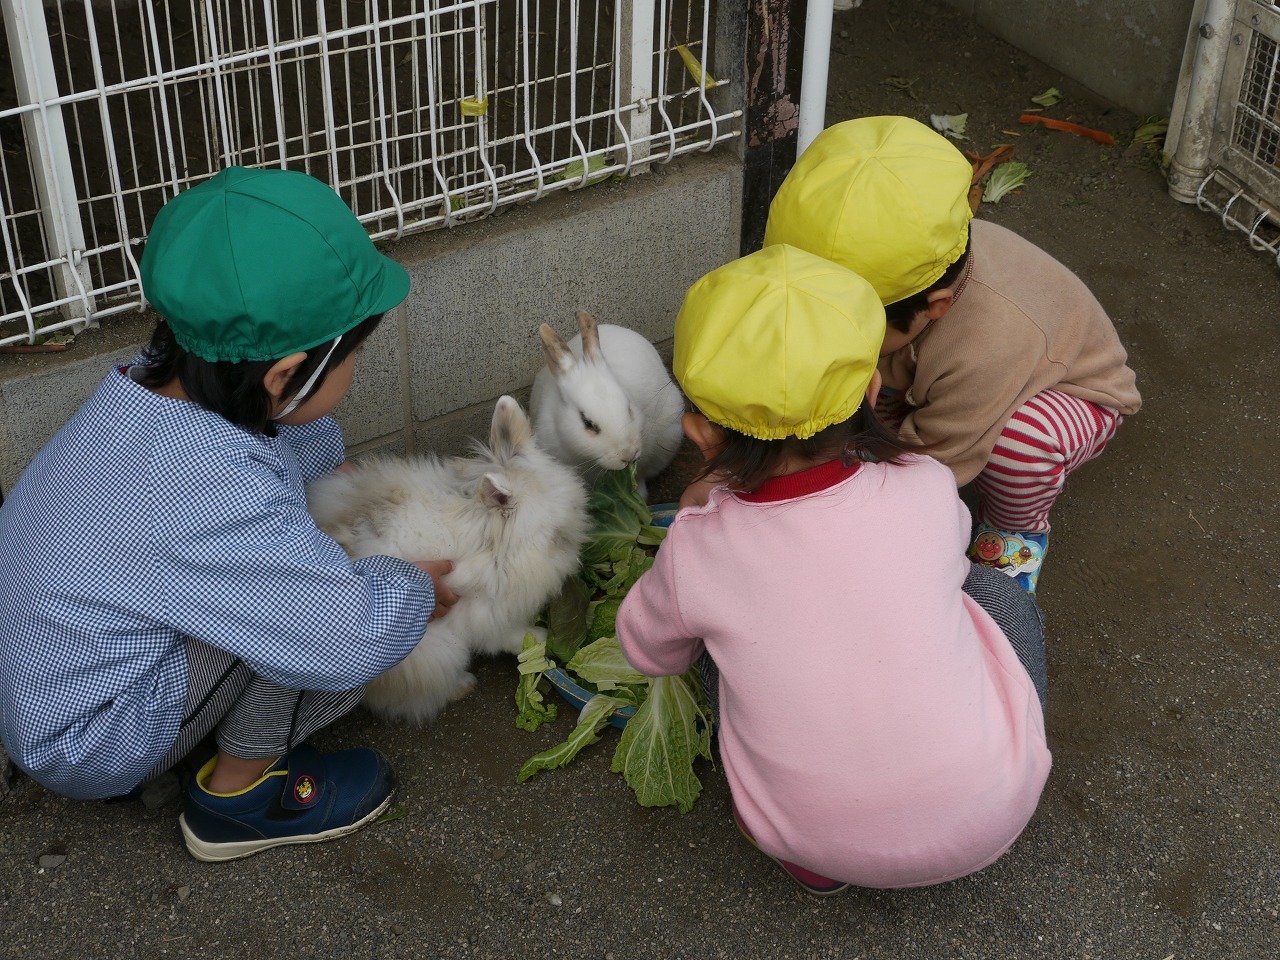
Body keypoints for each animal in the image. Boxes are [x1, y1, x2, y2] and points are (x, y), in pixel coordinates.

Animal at [304, 394, 588, 727]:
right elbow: (506, 636)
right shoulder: (483, 611)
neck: (490, 543)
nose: (576, 552)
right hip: (431, 653)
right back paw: (462, 686)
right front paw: (539, 639)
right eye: (555, 535)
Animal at [529, 309, 691, 504]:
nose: (628, 455)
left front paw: (638, 497)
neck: (590, 462)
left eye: (629, 408)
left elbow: (639, 478)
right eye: (588, 424)